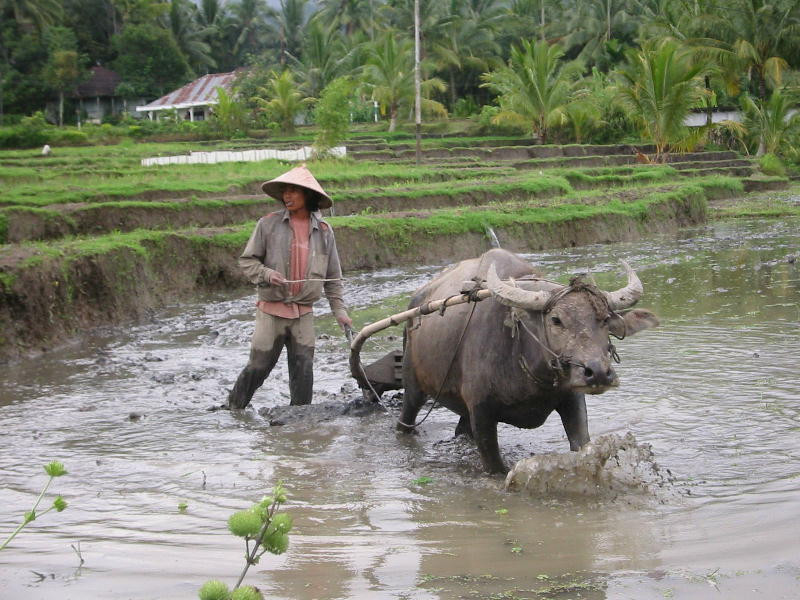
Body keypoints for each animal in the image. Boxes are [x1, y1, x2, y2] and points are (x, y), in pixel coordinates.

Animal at [398, 248, 656, 474]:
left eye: (604, 320)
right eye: (556, 320)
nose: (599, 373)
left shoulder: (572, 400)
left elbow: (582, 444)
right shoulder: (481, 413)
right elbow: (495, 466)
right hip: (414, 387)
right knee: (406, 419)